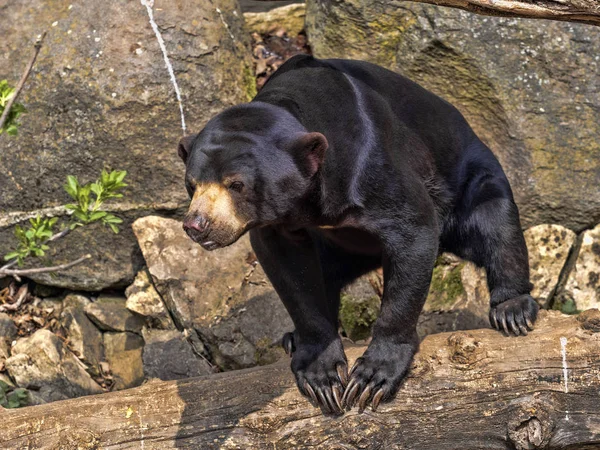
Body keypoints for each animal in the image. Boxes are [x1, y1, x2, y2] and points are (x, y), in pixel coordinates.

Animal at [178, 55, 540, 414]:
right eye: (191, 185)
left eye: (236, 184)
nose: (197, 224)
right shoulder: (279, 223)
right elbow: (292, 274)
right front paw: (322, 376)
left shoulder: (371, 165)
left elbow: (414, 230)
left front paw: (371, 378)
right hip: (336, 249)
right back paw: (293, 337)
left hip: (468, 180)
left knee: (493, 223)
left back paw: (512, 309)